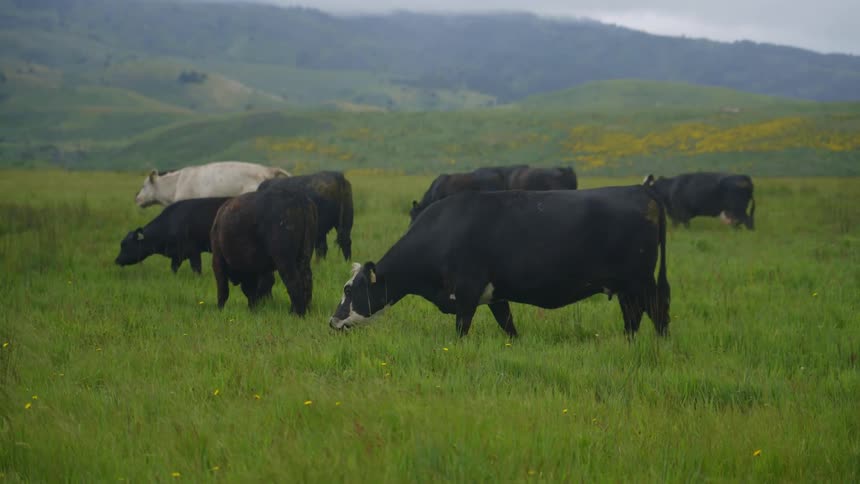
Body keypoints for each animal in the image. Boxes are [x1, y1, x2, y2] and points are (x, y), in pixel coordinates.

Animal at [331, 181, 669, 339]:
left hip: (640, 281)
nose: (332, 321)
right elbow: (509, 327)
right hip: (626, 287)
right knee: (634, 316)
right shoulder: (496, 296)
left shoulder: (467, 294)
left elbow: (461, 330)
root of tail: (641, 190)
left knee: (656, 311)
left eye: (351, 289)